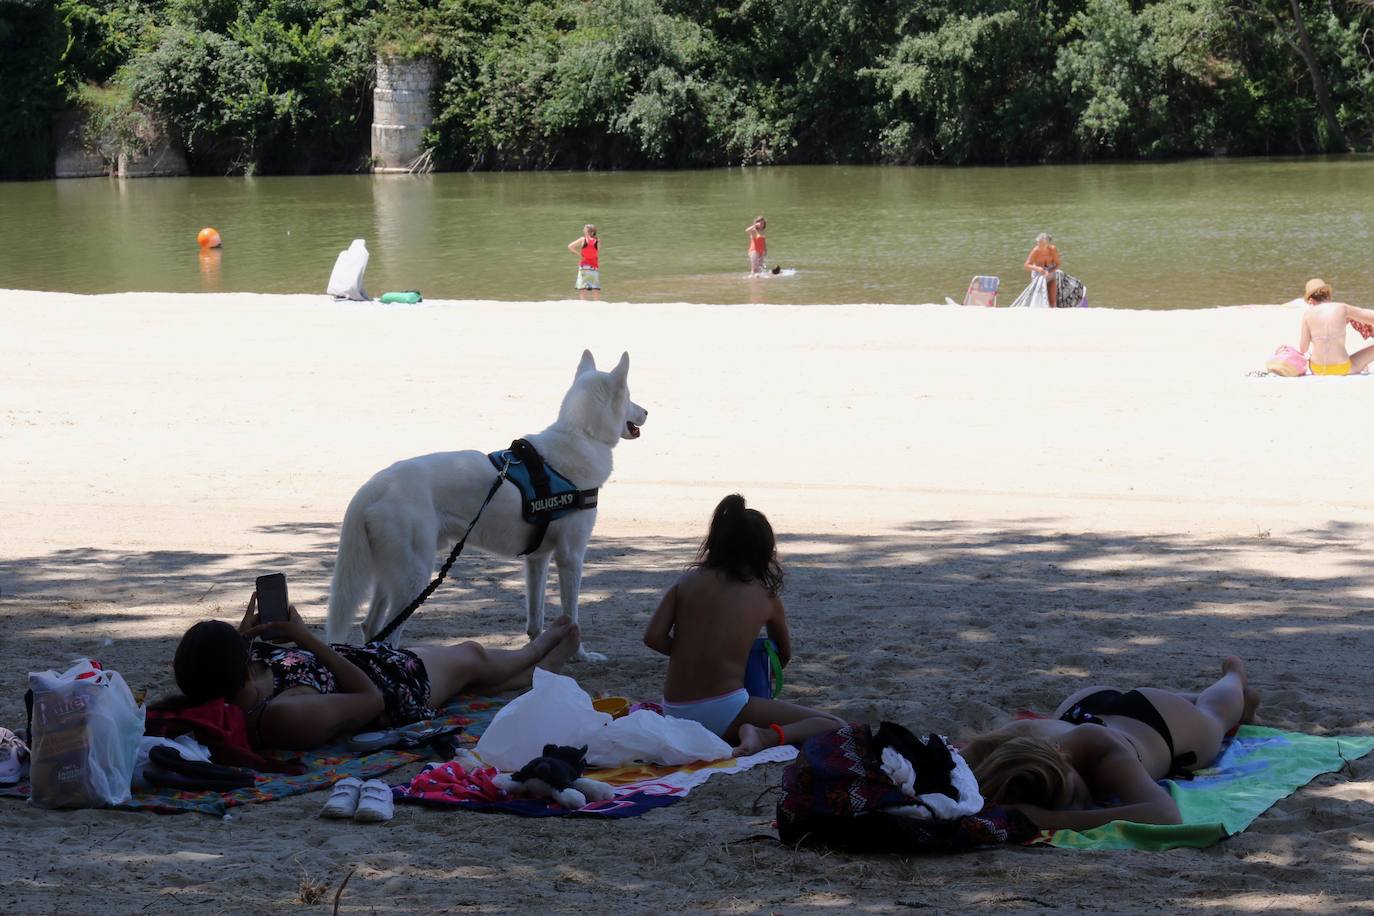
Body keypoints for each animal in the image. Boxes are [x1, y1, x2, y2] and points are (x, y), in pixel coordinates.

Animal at [324, 351, 645, 659]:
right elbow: (573, 618)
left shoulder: (537, 559)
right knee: (388, 636)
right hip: (413, 577)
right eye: (629, 396)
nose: (647, 412)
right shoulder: (571, 556)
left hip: (391, 573)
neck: (581, 435)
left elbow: (536, 617)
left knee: (371, 626)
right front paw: (580, 655)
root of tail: (374, 485)